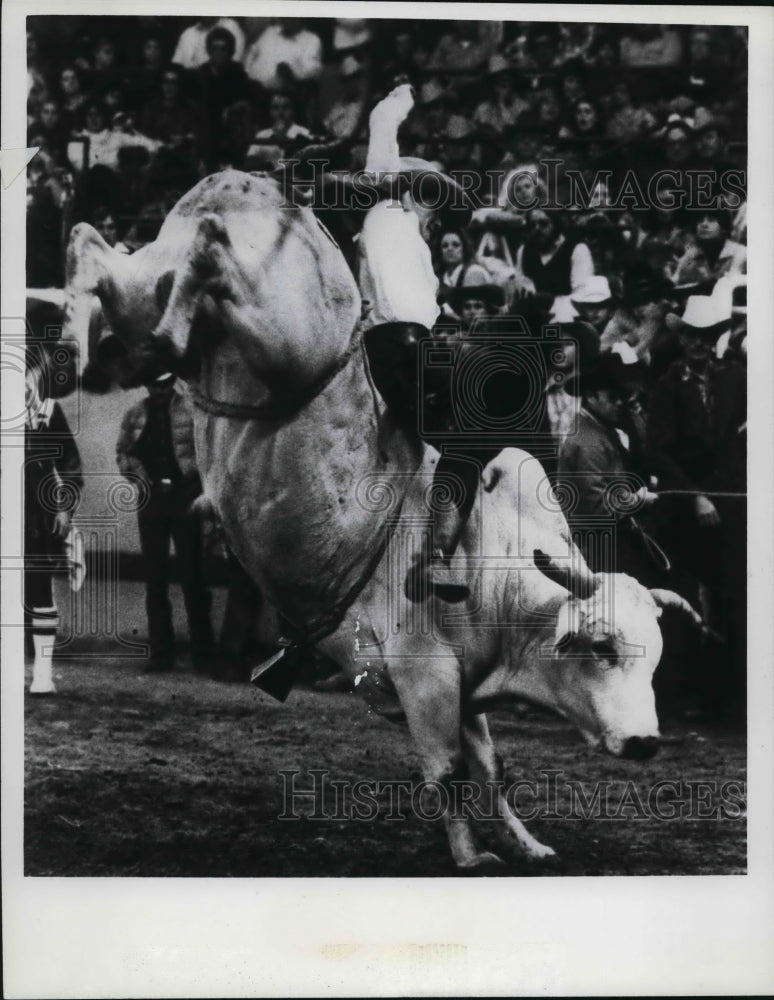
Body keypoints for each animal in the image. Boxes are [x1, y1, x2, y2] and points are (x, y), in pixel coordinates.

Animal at [66, 168, 708, 872]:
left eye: (656, 658)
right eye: (601, 647)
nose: (646, 741)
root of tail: (239, 184)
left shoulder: (463, 690)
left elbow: (492, 768)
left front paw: (526, 843)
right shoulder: (422, 672)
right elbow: (449, 769)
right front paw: (471, 857)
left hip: (150, 286)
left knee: (103, 255)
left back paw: (99, 326)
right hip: (282, 335)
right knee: (196, 254)